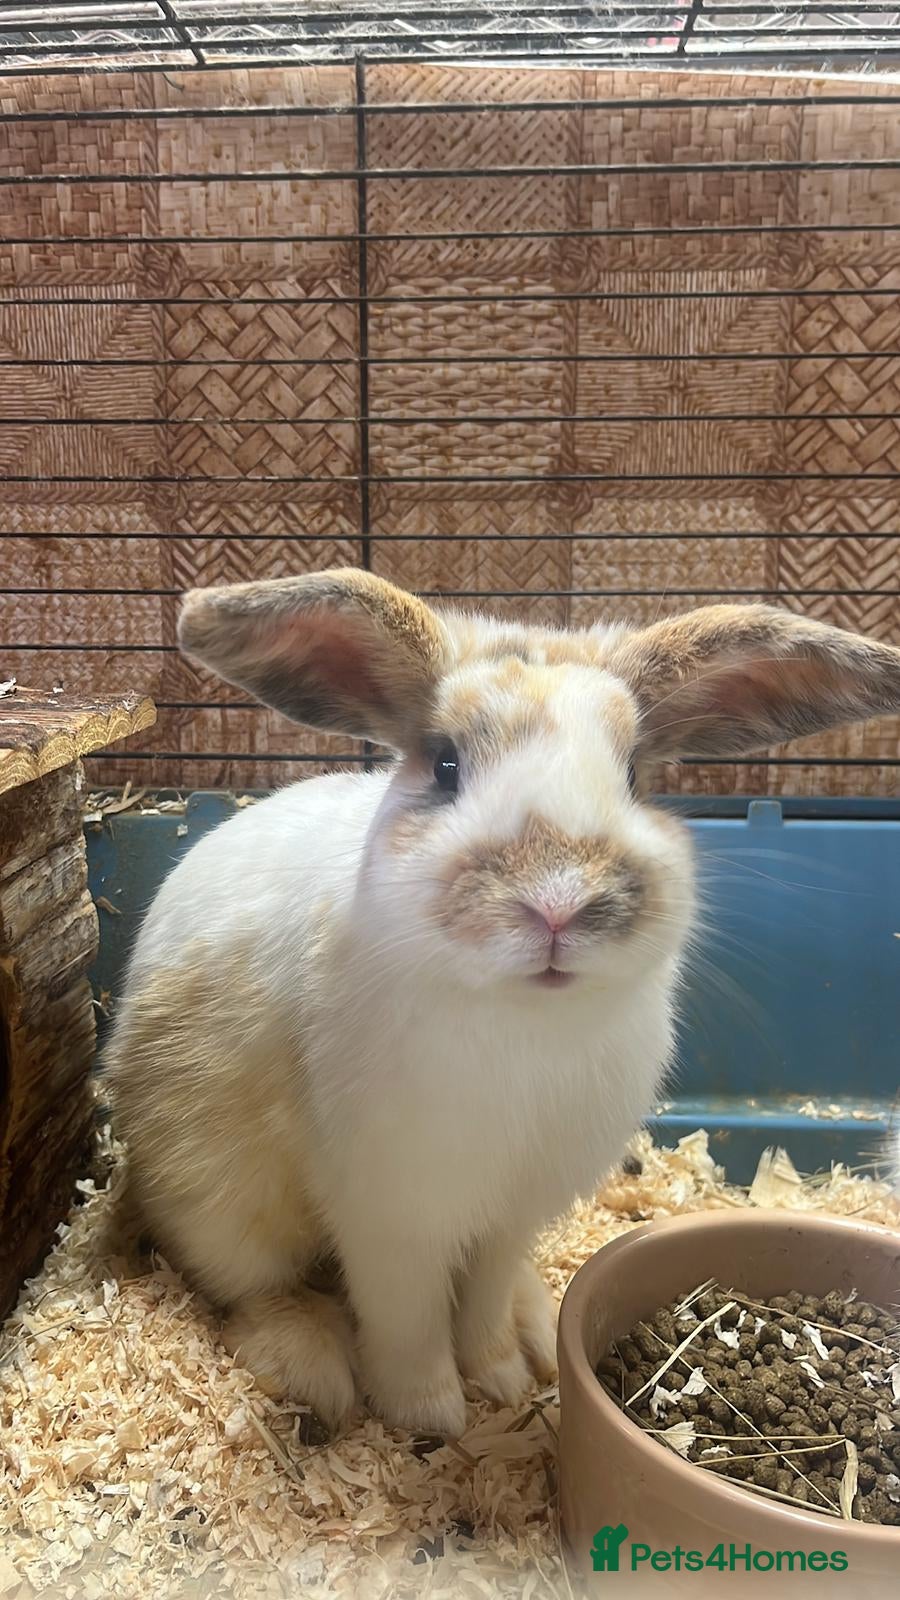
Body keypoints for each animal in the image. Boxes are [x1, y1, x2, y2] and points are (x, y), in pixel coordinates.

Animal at [107, 569, 900, 1437]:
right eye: (446, 765)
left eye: (634, 774)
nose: (557, 903)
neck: (526, 1022)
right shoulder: (392, 1212)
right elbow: (407, 1318)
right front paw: (430, 1417)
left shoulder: (511, 1215)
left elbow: (479, 1301)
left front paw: (501, 1381)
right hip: (221, 1209)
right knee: (251, 1289)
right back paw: (316, 1365)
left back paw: (533, 1328)